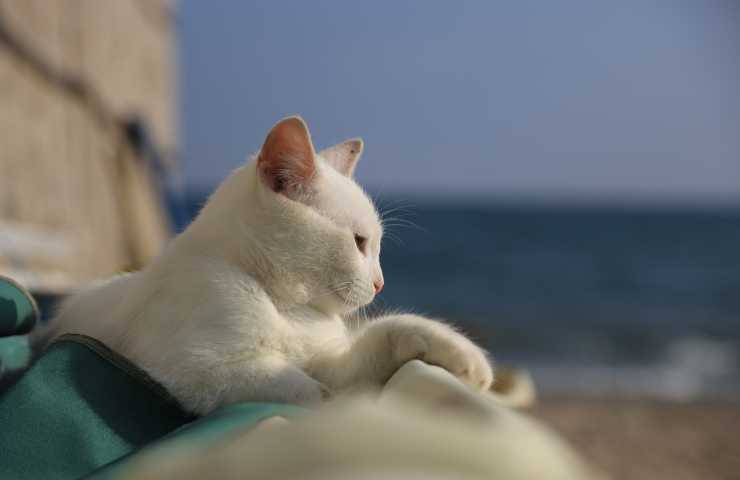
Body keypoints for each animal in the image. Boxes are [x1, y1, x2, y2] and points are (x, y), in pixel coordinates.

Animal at [37, 117, 494, 416]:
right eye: (360, 243)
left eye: (376, 245)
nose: (381, 282)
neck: (288, 308)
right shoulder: (195, 370)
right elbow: (315, 395)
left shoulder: (332, 361)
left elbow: (384, 337)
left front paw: (459, 354)